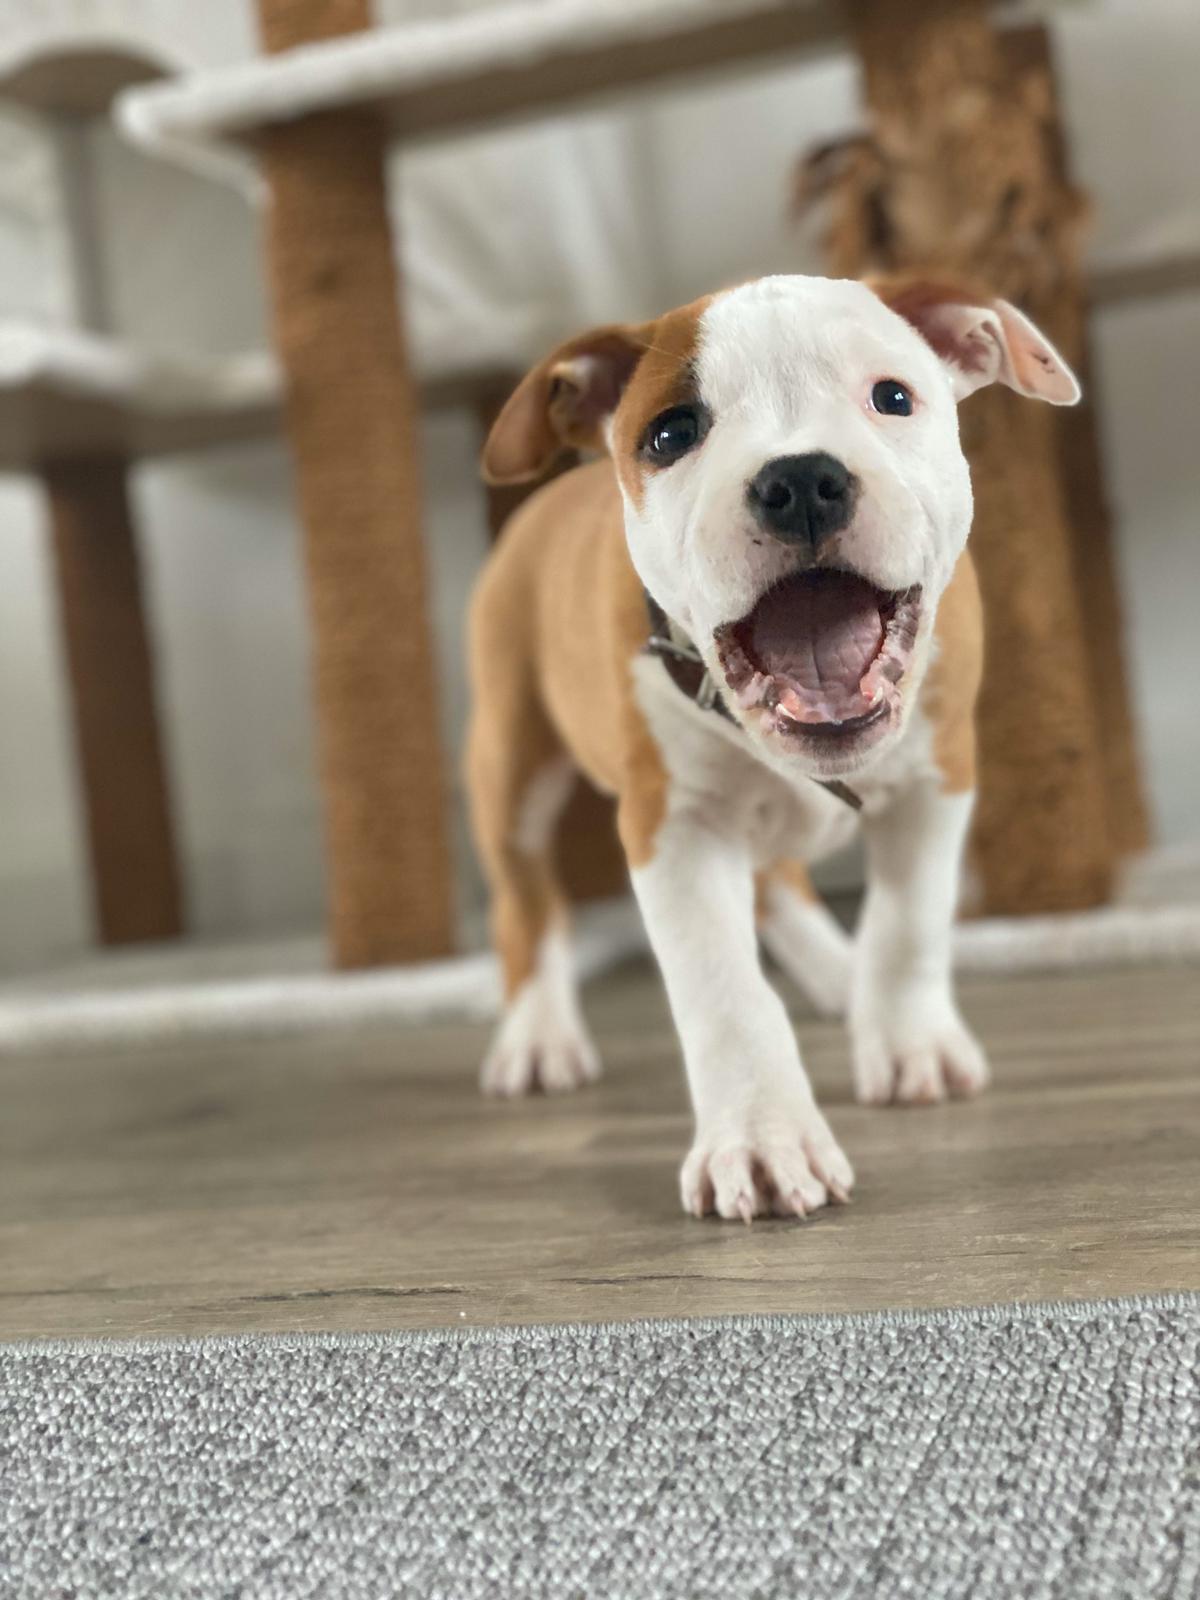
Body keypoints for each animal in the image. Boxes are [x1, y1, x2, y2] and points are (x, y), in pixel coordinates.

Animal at [466, 273, 1079, 1221]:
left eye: (892, 397)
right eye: (671, 434)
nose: (800, 480)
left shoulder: (938, 778)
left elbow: (909, 926)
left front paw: (910, 1046)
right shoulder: (675, 827)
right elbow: (723, 990)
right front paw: (759, 1140)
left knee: (778, 879)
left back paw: (837, 976)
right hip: (511, 757)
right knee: (528, 897)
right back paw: (538, 1035)